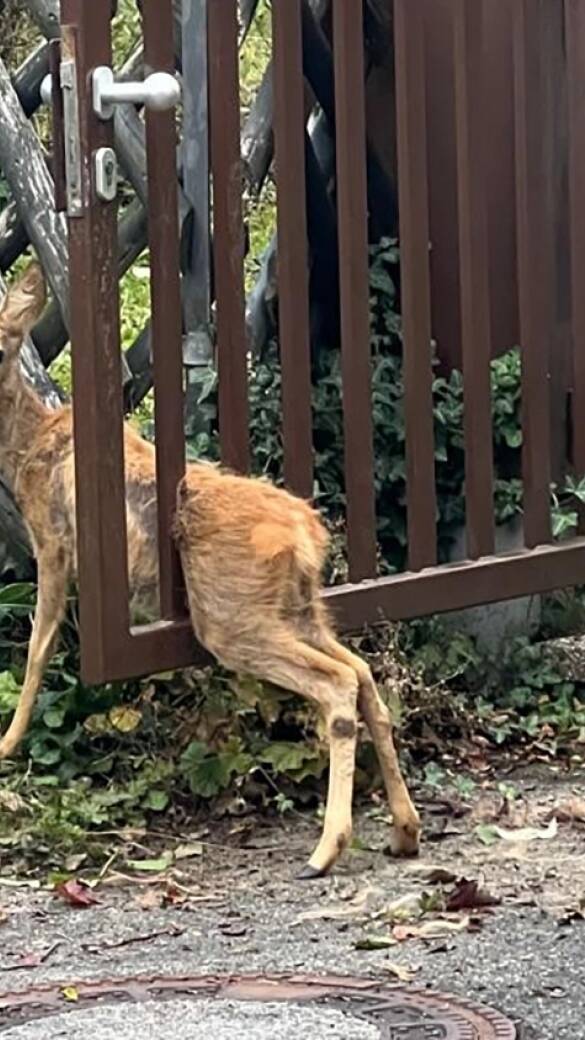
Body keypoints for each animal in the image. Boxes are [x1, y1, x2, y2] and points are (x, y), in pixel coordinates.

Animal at [0, 262, 418, 877]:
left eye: (2, 342)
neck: (31, 444)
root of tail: (306, 534)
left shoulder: (53, 542)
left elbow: (38, 647)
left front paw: (8, 745)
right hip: (298, 609)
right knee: (363, 673)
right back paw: (404, 831)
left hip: (231, 617)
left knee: (338, 685)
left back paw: (325, 850)